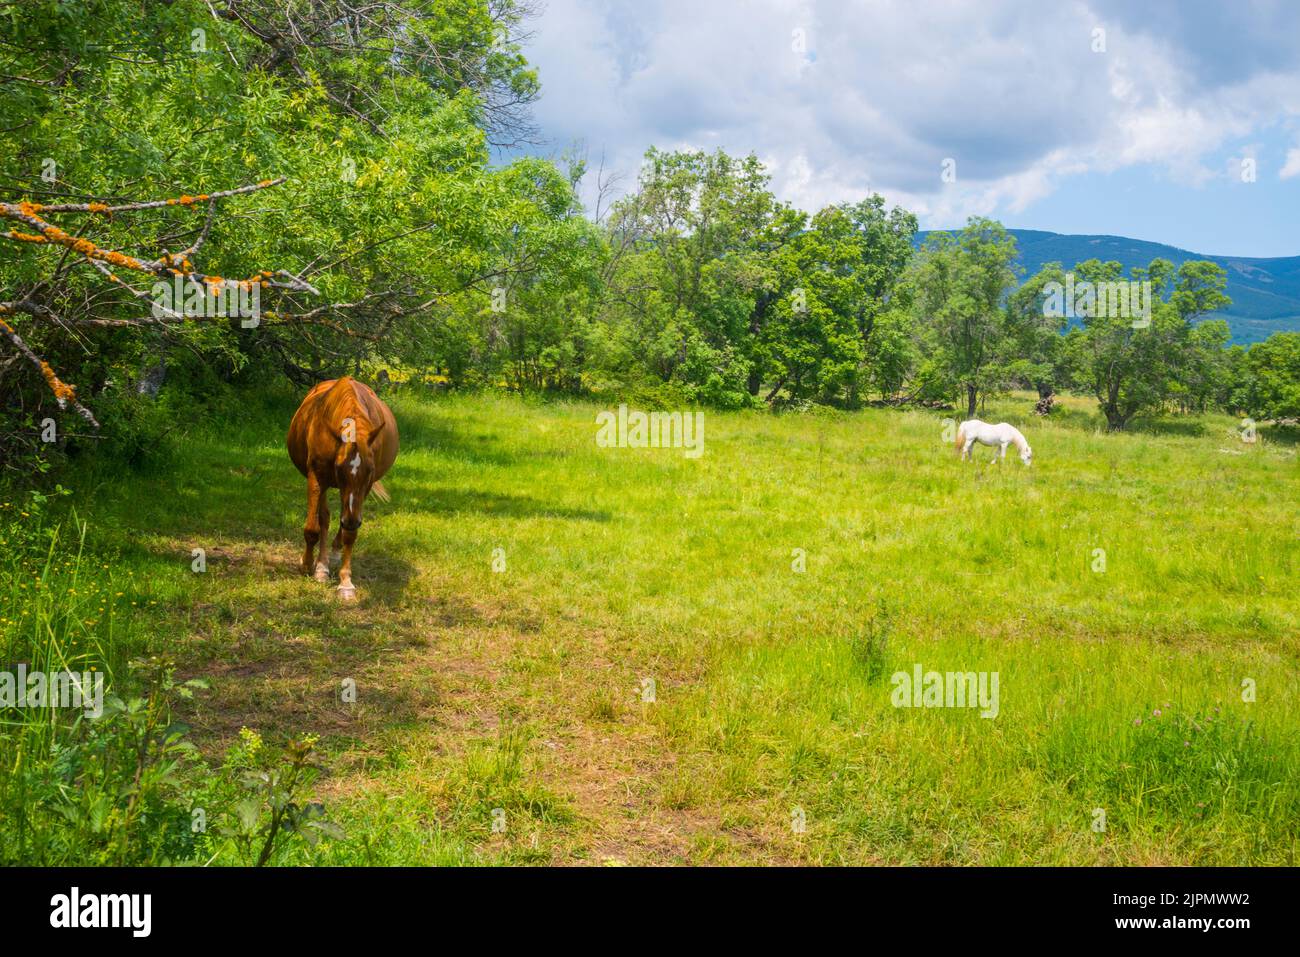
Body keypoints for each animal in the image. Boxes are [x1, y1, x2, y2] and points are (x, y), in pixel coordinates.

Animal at [287, 377, 398, 600]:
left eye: (370, 470)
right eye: (338, 467)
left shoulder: (362, 489)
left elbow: (350, 533)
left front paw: (345, 582)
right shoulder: (317, 477)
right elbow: (313, 528)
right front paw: (307, 564)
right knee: (325, 517)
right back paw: (321, 566)